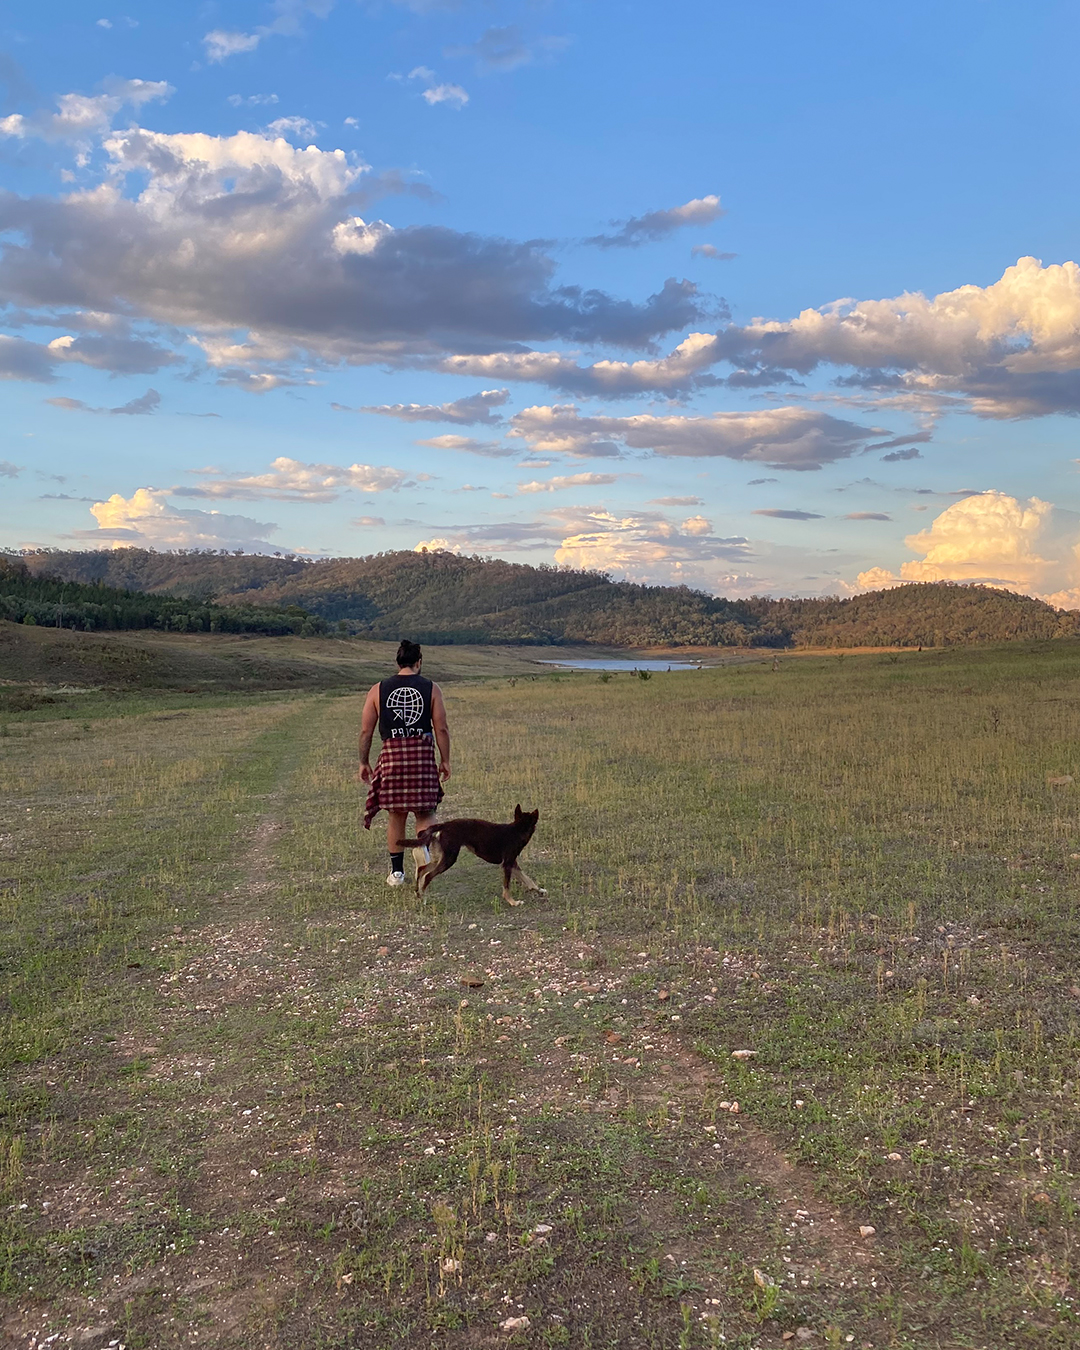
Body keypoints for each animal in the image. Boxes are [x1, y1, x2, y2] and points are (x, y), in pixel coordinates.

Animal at [399, 804, 545, 901]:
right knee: (428, 876)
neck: (517, 829)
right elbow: (507, 886)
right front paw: (512, 902)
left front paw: (538, 889)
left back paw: (418, 893)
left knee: (422, 869)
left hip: (442, 858)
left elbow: (527, 878)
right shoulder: (507, 864)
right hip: (449, 859)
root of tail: (445, 824)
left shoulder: (512, 864)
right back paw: (424, 897)